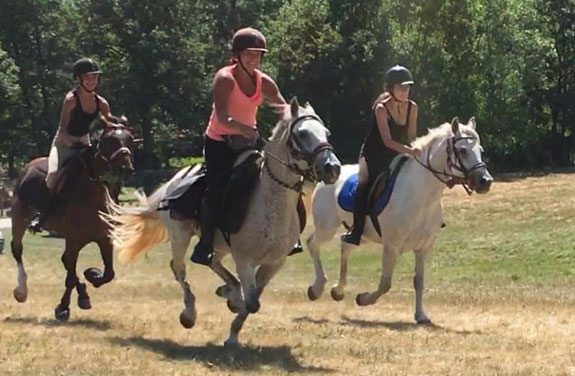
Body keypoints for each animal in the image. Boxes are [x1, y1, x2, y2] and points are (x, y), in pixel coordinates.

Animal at [9, 119, 134, 320]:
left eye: (130, 139)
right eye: (109, 141)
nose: (126, 169)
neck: (92, 196)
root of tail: (28, 166)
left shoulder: (104, 239)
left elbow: (108, 274)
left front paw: (92, 276)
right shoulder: (74, 240)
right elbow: (70, 275)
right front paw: (63, 307)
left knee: (67, 262)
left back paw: (83, 293)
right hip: (19, 218)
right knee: (18, 249)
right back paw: (21, 290)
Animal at [106, 98, 342, 346]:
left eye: (326, 133)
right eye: (303, 134)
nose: (333, 168)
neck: (270, 203)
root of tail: (177, 178)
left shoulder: (274, 262)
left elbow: (254, 298)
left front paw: (233, 318)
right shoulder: (245, 260)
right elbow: (252, 303)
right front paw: (233, 324)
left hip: (219, 245)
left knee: (213, 262)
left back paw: (227, 292)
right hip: (180, 235)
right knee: (179, 268)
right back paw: (190, 313)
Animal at [308, 117, 492, 324]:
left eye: (481, 150)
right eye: (462, 150)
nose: (485, 181)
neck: (422, 196)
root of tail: (327, 178)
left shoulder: (424, 247)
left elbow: (418, 281)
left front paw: (421, 315)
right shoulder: (391, 247)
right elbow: (385, 284)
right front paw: (363, 299)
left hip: (361, 234)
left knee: (345, 246)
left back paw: (338, 291)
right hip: (327, 227)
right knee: (313, 244)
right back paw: (316, 288)